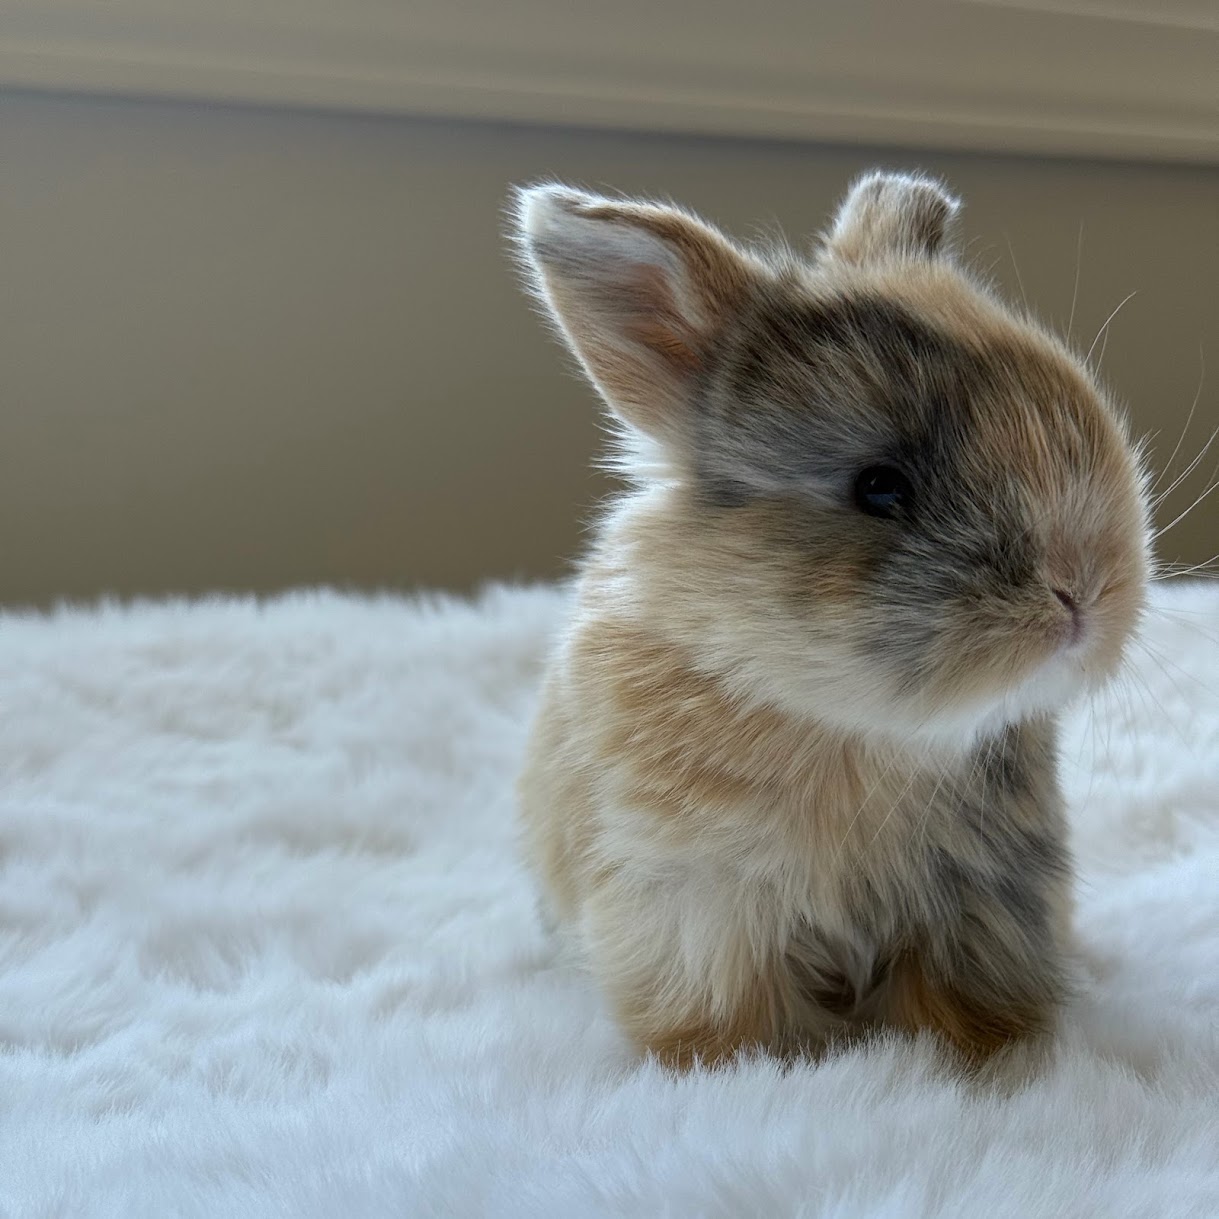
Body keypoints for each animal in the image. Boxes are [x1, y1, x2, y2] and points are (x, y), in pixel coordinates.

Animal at [511, 170, 1150, 1071]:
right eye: (878, 487)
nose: (1082, 592)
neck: (851, 729)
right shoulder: (702, 909)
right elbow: (731, 1015)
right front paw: (756, 1069)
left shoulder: (982, 901)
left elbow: (958, 1007)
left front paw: (969, 1065)